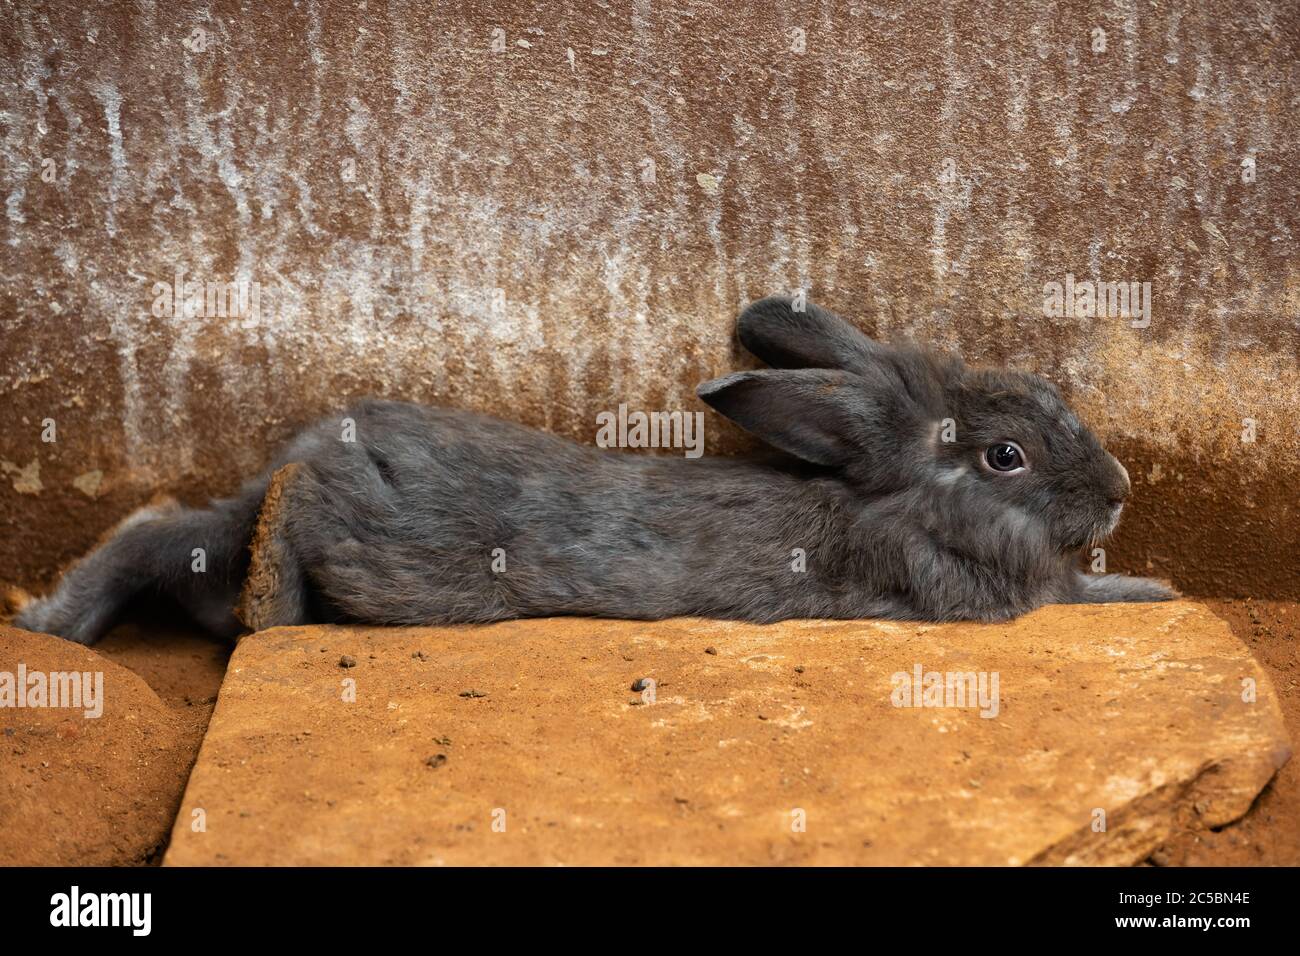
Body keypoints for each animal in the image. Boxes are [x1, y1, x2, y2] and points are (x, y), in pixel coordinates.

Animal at [12, 295, 1175, 645]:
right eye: (1005, 456)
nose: (1120, 491)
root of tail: (320, 443)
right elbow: (1080, 594)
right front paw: (1154, 587)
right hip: (393, 557)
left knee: (170, 534)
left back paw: (56, 625)